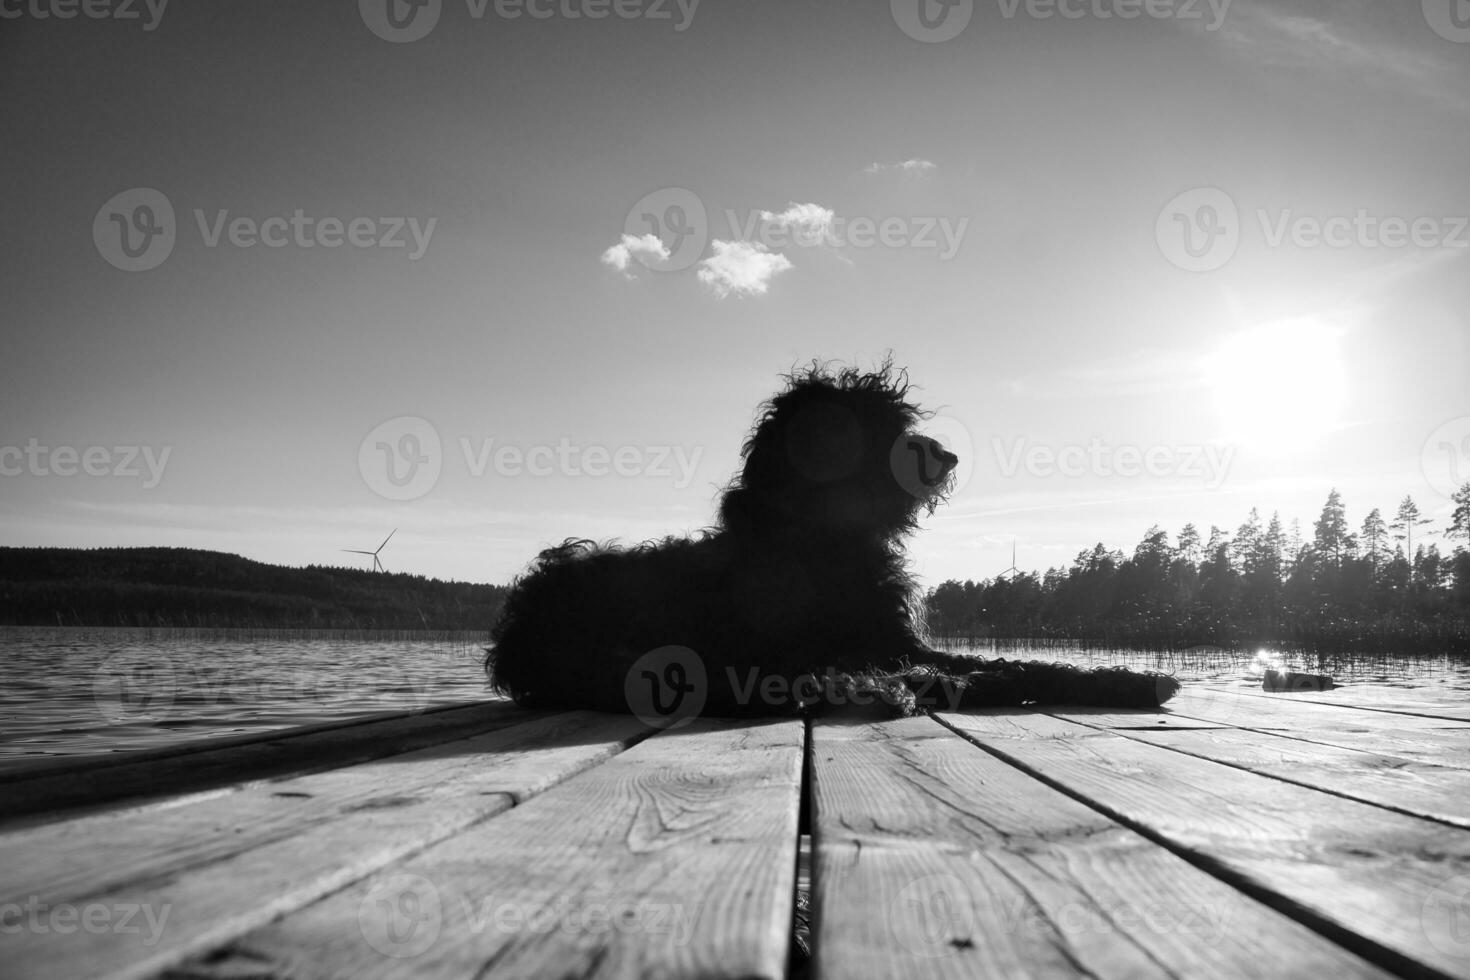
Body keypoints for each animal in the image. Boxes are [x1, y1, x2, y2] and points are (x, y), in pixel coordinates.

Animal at [488, 364, 1176, 717]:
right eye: (868, 423)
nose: (946, 455)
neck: (821, 539)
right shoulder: (833, 647)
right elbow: (956, 670)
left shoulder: (893, 637)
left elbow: (1015, 660)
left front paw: (1125, 680)